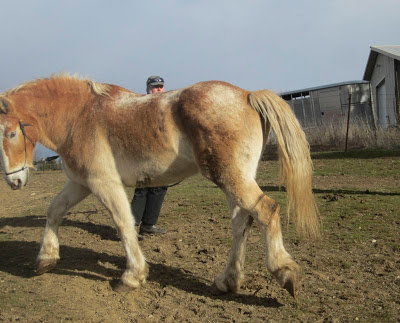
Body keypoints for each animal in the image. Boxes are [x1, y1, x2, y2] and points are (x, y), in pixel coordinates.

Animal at [0, 74, 318, 302]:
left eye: (11, 133)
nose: (14, 181)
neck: (80, 117)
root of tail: (247, 95)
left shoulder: (104, 183)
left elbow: (124, 223)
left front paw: (132, 277)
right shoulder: (80, 183)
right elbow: (54, 210)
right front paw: (45, 259)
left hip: (231, 178)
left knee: (266, 210)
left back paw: (285, 274)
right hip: (236, 179)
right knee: (242, 222)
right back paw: (227, 281)